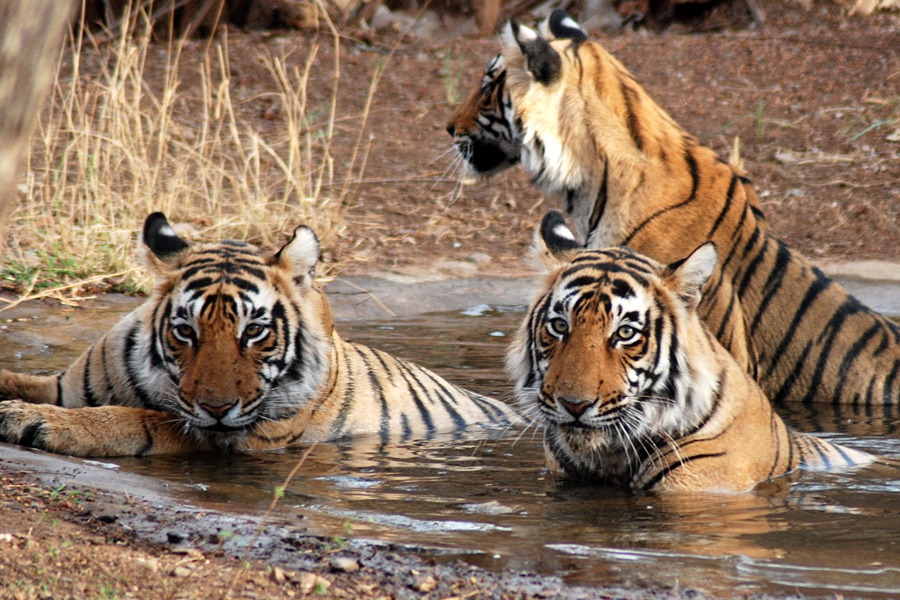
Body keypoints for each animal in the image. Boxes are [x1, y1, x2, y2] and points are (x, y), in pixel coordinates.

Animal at [0, 213, 520, 458]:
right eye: (185, 331)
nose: (216, 408)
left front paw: (33, 421)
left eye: (254, 331)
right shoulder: (63, 385)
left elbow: (137, 420)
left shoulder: (234, 436)